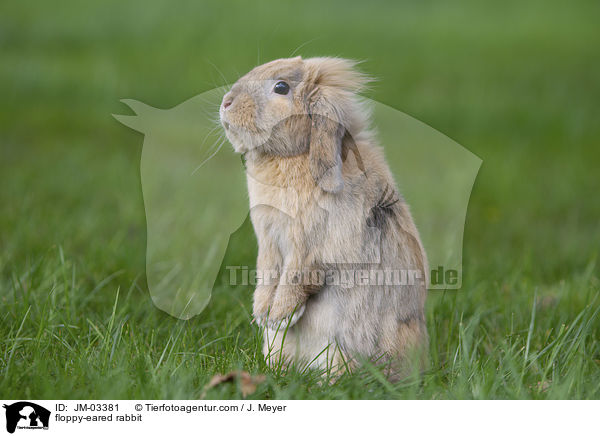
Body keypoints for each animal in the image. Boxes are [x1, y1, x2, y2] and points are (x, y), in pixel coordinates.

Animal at [219, 57, 426, 378]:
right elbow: (267, 271)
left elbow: (295, 277)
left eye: (281, 87)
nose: (226, 102)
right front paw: (263, 314)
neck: (294, 156)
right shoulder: (269, 240)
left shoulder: (308, 247)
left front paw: (279, 316)